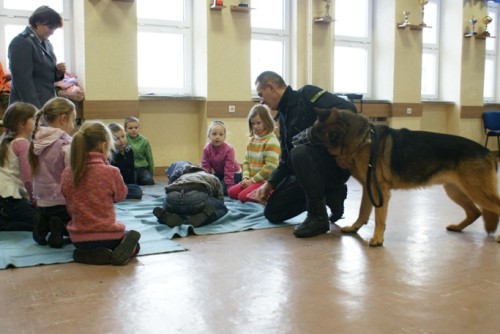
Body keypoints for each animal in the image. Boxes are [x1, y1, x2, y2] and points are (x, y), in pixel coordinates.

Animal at [312, 108, 500, 247]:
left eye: (317, 133)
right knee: (475, 212)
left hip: (477, 192)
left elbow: (379, 217)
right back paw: (458, 227)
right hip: (455, 191)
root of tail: (488, 152)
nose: (304, 136)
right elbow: (363, 211)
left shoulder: (380, 192)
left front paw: (378, 238)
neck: (362, 139)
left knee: (488, 208)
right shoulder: (368, 188)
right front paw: (354, 228)